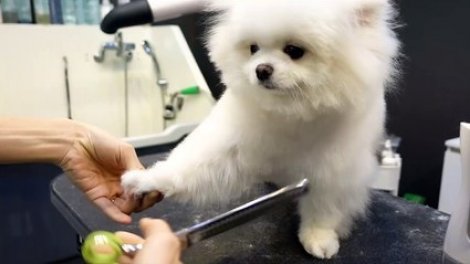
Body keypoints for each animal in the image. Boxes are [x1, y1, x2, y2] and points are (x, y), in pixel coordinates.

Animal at [123, 0, 398, 260]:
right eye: (253, 48)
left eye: (294, 51)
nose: (261, 69)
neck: (291, 113)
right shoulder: (229, 145)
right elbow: (190, 167)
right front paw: (146, 180)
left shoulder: (334, 172)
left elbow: (324, 209)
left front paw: (318, 237)